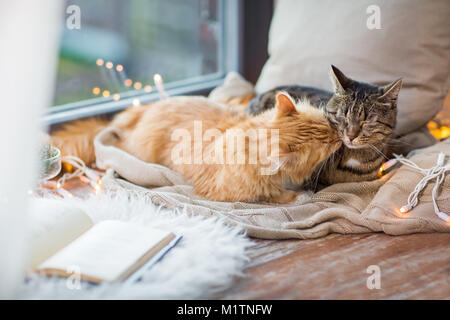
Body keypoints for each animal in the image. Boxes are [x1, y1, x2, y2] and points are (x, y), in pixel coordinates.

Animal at [51, 93, 342, 202]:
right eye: (327, 144)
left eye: (328, 124)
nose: (340, 136)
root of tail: (141, 109)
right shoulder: (231, 194)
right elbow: (275, 196)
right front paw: (298, 195)